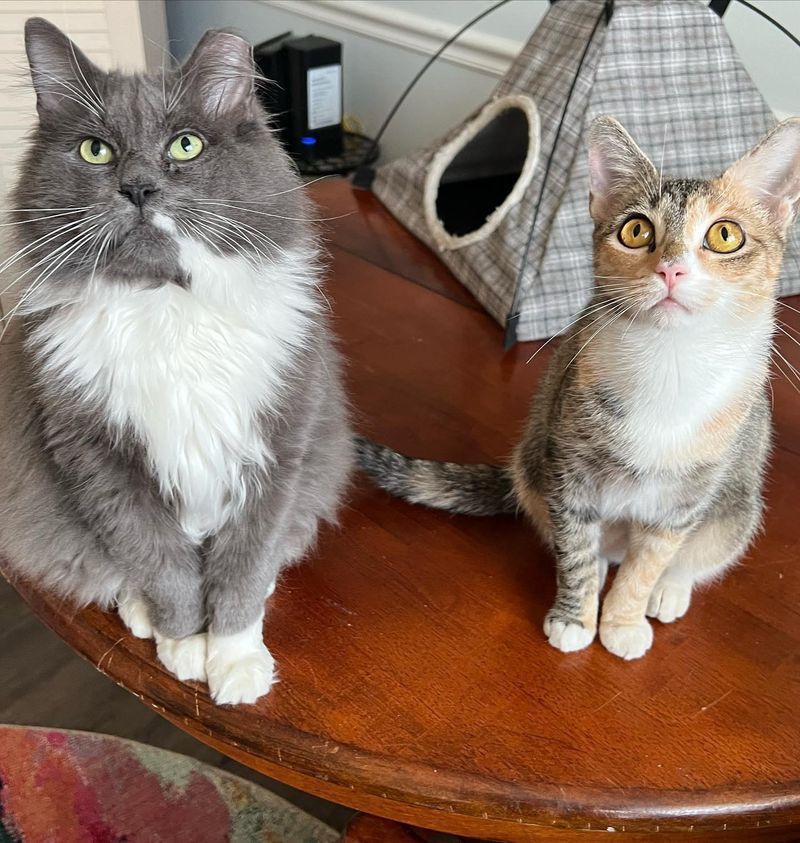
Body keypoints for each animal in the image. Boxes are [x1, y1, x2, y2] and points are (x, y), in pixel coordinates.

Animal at [0, 18, 354, 704]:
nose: (138, 189)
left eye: (185, 146)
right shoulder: (103, 466)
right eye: (96, 151)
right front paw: (186, 645)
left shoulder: (278, 450)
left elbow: (243, 569)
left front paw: (237, 661)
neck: (165, 302)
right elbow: (162, 568)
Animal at [360, 115, 800, 664]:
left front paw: (625, 619)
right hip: (534, 462)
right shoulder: (569, 471)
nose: (671, 268)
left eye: (725, 235)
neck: (669, 364)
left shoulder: (683, 501)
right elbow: (576, 552)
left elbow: (649, 563)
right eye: (636, 230)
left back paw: (670, 589)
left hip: (736, 507)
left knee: (699, 550)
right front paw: (575, 616)